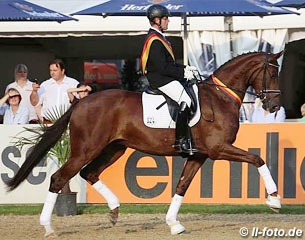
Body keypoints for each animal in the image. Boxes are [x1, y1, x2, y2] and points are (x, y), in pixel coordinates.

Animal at [6, 51, 282, 237]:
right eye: (272, 73)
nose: (274, 106)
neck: (219, 96)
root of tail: (81, 103)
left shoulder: (199, 154)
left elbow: (181, 186)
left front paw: (174, 223)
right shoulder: (218, 149)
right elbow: (258, 159)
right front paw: (274, 200)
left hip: (114, 148)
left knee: (89, 173)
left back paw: (114, 211)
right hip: (86, 149)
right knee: (59, 178)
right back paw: (48, 227)